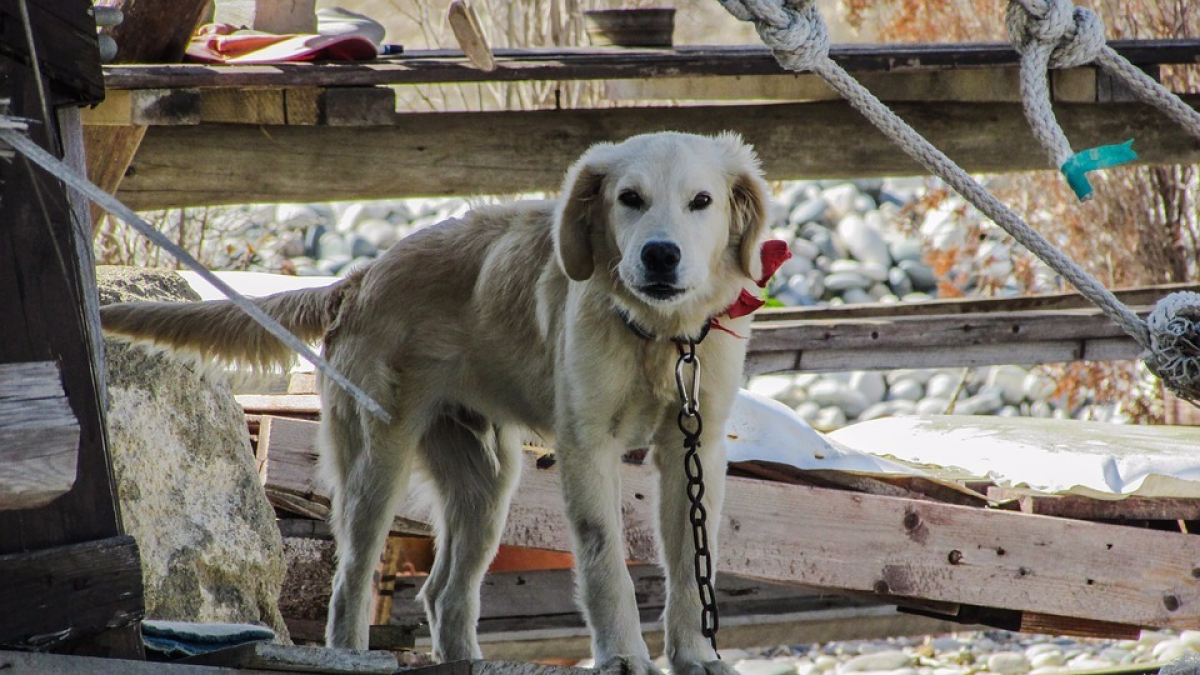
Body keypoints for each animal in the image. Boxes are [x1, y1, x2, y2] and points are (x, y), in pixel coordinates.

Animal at [98, 131, 763, 672]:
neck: (659, 334)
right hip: (378, 463)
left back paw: (463, 658)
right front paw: (623, 656)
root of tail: (360, 278)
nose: (660, 255)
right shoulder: (588, 447)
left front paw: (695, 656)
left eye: (701, 202)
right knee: (352, 582)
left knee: (443, 592)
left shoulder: (693, 449)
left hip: (488, 480)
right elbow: (606, 563)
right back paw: (351, 655)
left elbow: (691, 565)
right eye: (629, 198)